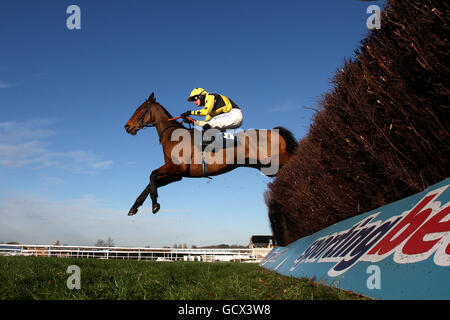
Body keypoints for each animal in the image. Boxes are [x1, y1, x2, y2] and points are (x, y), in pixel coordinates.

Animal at [125, 94, 298, 216]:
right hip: (267, 167)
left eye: (139, 109)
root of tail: (275, 131)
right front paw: (134, 207)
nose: (127, 126)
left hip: (274, 160)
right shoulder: (177, 174)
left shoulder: (175, 167)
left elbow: (152, 175)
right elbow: (150, 183)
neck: (174, 136)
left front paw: (155, 205)